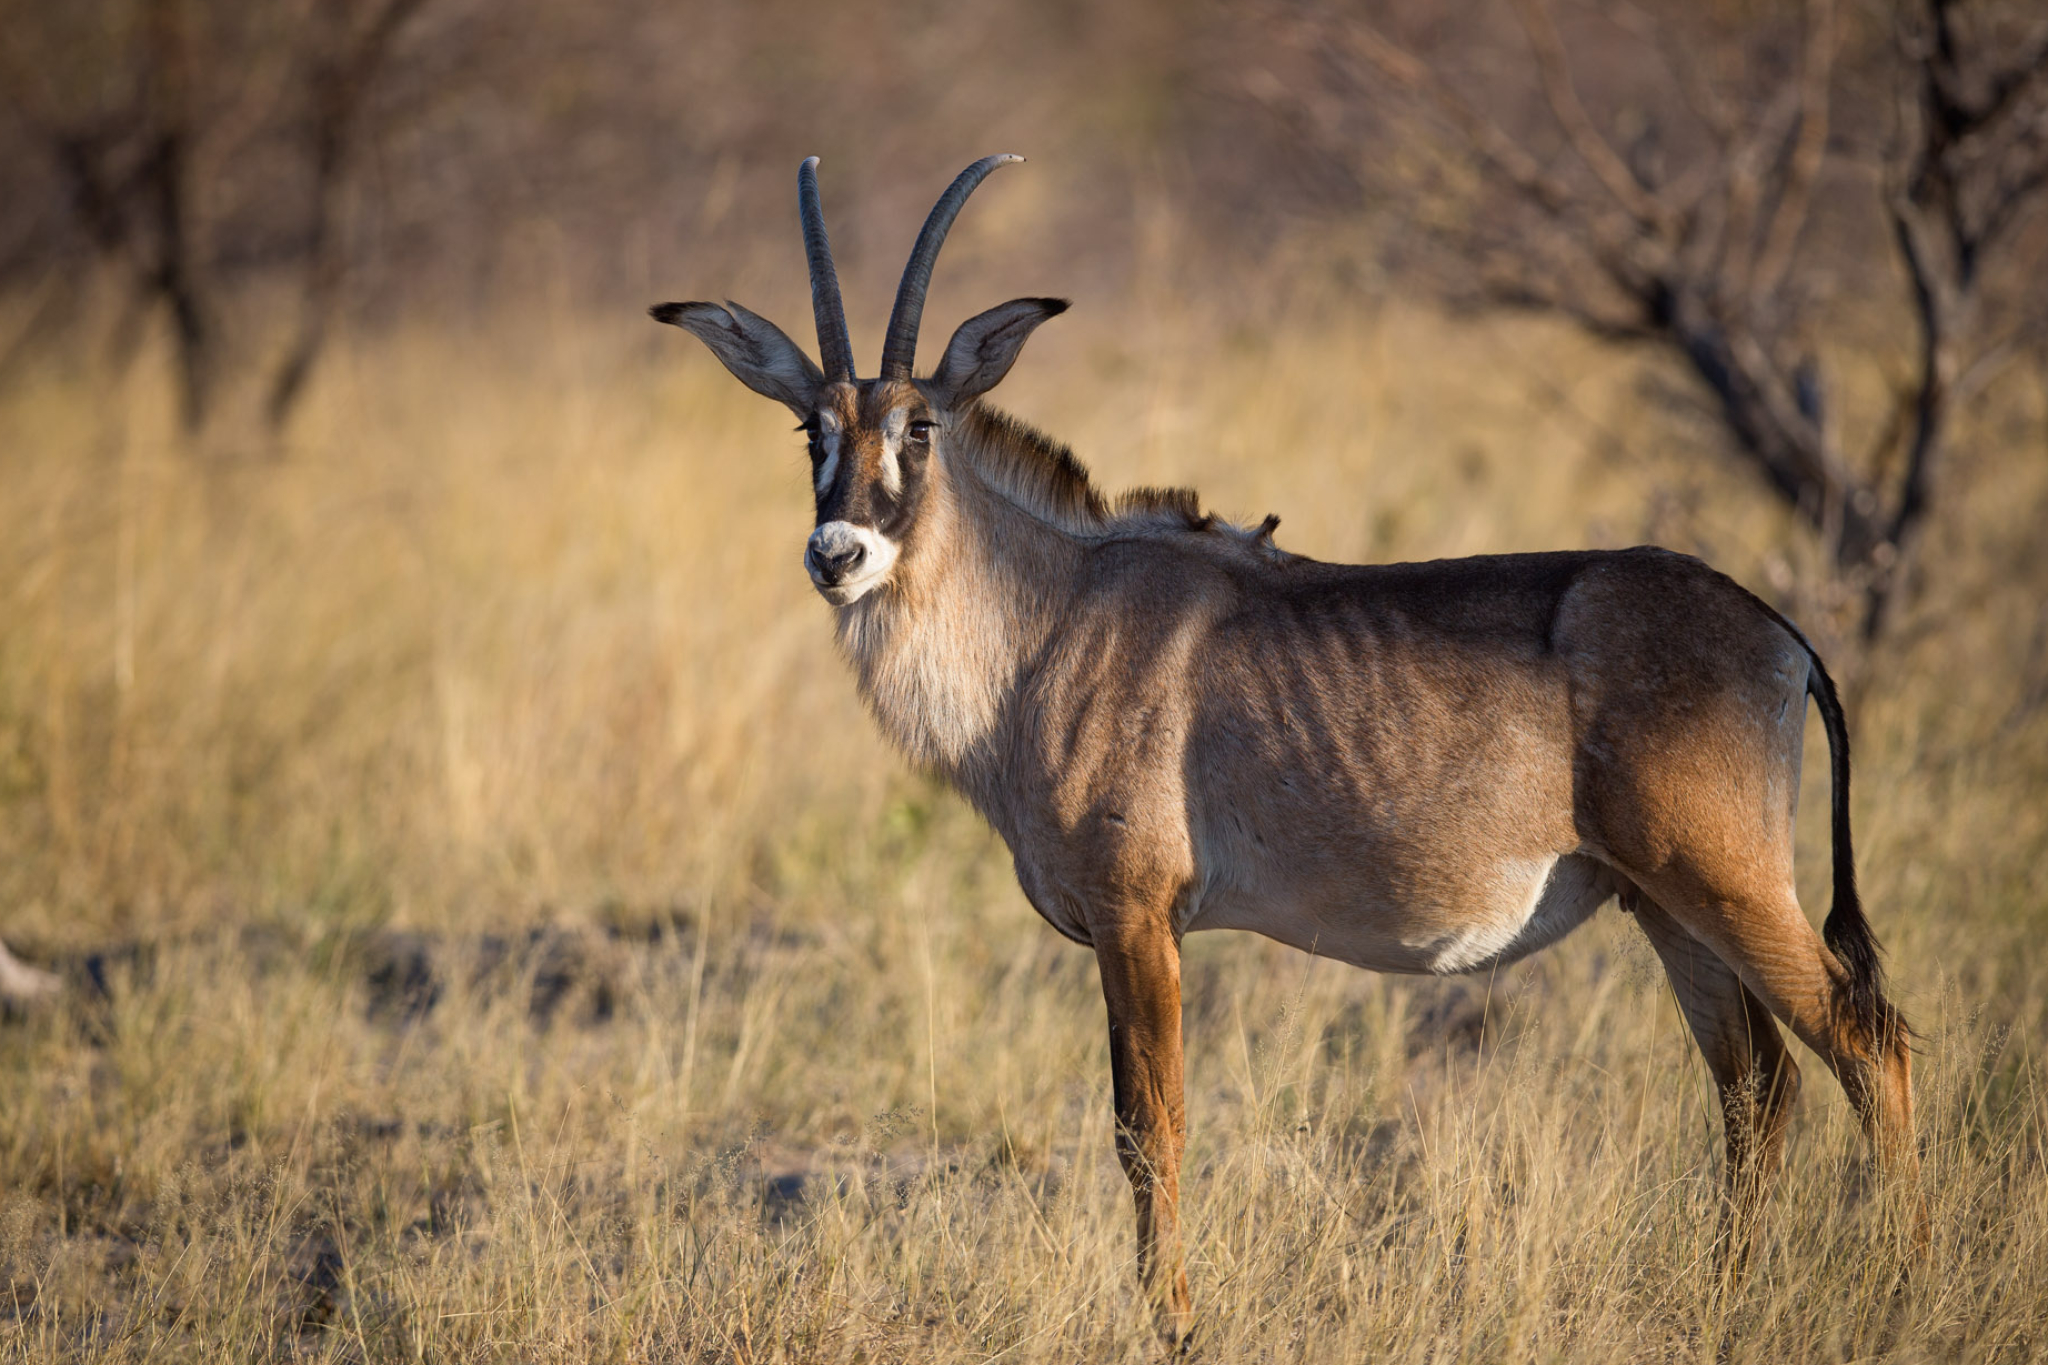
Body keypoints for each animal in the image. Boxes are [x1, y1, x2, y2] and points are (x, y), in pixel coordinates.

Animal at [651, 154, 1916, 1342]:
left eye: (919, 426)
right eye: (809, 429)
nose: (838, 554)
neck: (1046, 618)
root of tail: (1775, 630)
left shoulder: (1137, 918)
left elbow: (1147, 1126)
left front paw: (1173, 1322)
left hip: (1723, 884)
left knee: (1865, 1043)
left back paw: (1886, 1280)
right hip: (1664, 907)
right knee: (1757, 1088)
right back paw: (1723, 1299)